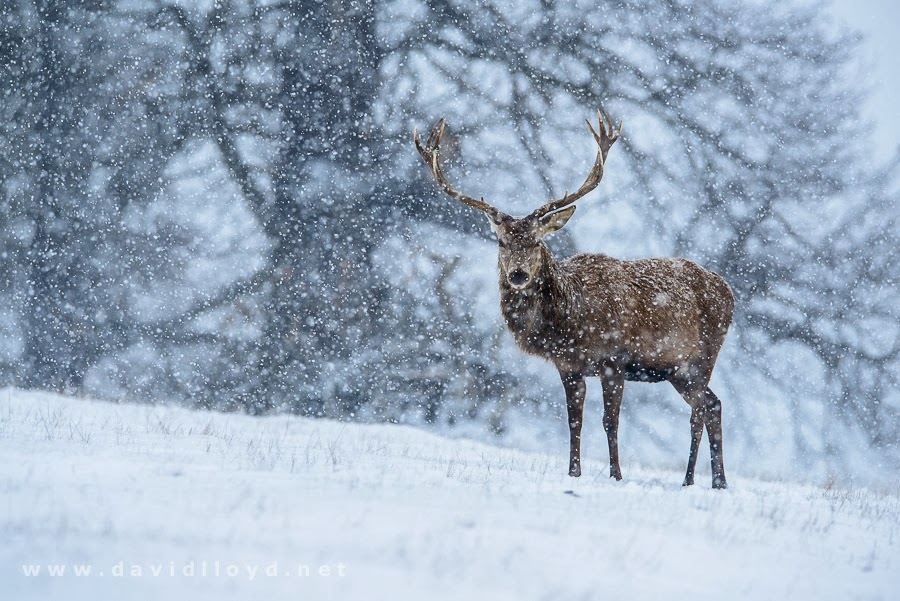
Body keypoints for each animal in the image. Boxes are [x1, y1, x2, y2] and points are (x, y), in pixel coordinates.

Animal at [414, 111, 734, 489]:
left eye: (537, 241)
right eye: (502, 242)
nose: (518, 275)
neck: (571, 321)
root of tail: (728, 291)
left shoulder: (614, 358)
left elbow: (610, 422)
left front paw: (616, 475)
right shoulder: (568, 366)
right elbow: (573, 421)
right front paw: (574, 473)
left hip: (701, 357)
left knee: (702, 409)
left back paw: (699, 481)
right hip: (676, 370)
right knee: (712, 405)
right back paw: (708, 481)